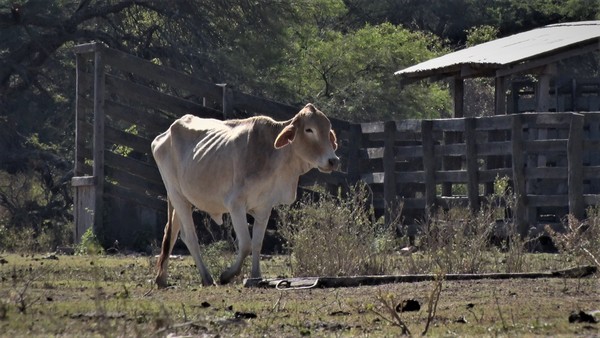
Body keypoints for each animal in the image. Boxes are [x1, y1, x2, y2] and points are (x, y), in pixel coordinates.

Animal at [152, 103, 340, 288]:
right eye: (309, 130)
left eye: (328, 130)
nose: (333, 160)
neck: (274, 155)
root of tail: (164, 135)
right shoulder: (236, 205)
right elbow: (245, 245)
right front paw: (227, 275)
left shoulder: (264, 207)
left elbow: (257, 243)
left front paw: (256, 277)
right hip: (177, 195)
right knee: (191, 238)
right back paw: (207, 278)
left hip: (182, 199)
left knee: (174, 233)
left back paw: (162, 279)